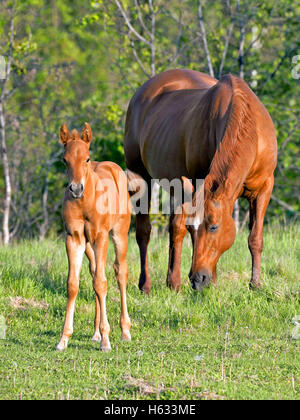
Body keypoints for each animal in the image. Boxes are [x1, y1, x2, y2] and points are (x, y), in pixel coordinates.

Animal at [56, 123, 131, 352]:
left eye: (87, 158)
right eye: (65, 160)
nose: (75, 189)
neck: (85, 202)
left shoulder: (101, 237)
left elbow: (101, 283)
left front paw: (107, 341)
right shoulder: (74, 239)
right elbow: (73, 284)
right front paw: (63, 339)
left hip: (119, 234)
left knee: (120, 272)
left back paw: (125, 330)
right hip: (89, 247)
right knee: (94, 272)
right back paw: (96, 333)